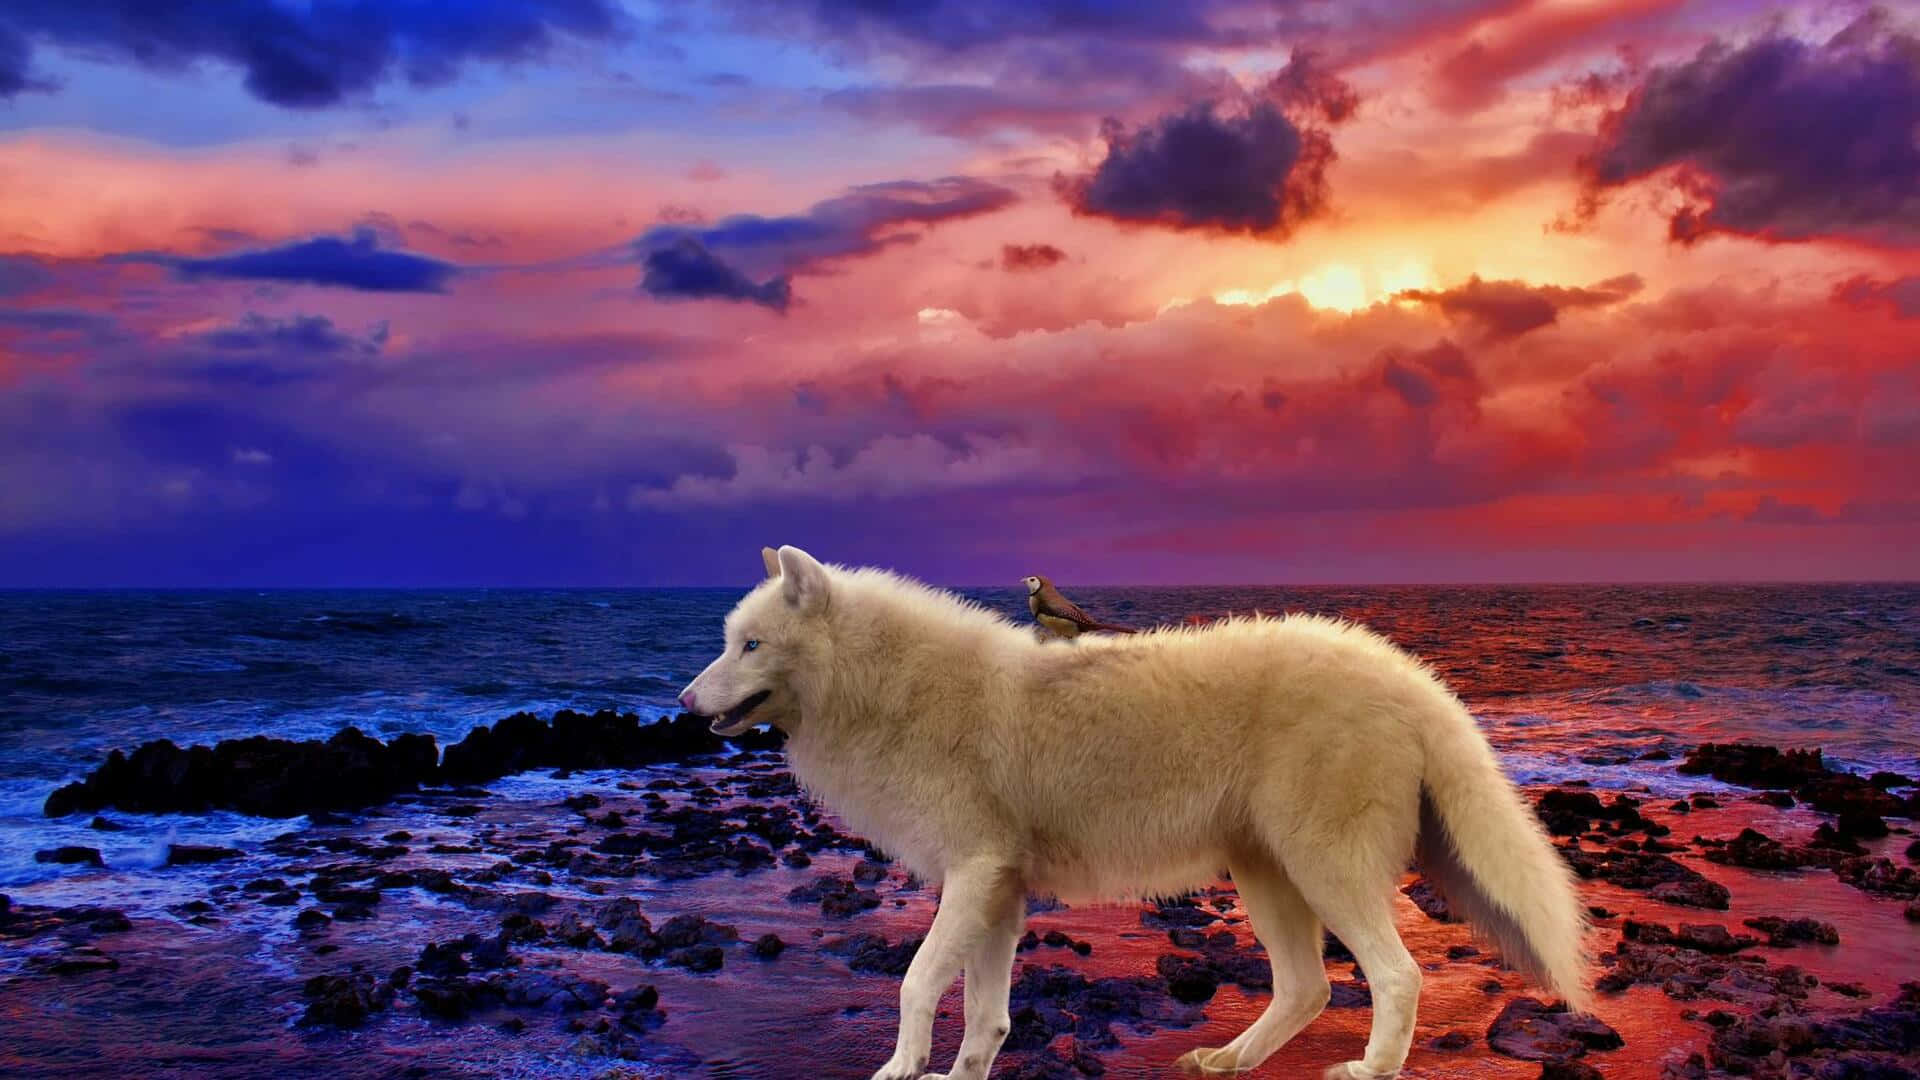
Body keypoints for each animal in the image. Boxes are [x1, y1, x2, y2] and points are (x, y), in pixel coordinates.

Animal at [679, 546, 1590, 1080]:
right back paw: (1226, 1059)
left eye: (749, 645)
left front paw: (899, 1071)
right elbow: (984, 1016)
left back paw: (1366, 1071)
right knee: (1308, 988)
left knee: (1396, 976)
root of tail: (1411, 677)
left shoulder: (974, 877)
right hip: (1267, 880)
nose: (685, 702)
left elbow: (913, 985)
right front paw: (957, 1073)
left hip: (1324, 874)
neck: (892, 689)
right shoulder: (998, 894)